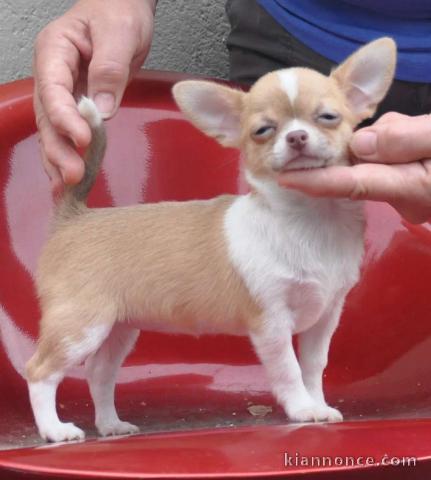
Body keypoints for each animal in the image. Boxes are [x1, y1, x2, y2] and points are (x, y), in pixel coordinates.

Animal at [27, 37, 396, 442]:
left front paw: (318, 404)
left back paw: (111, 425)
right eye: (263, 130)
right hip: (80, 325)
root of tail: (75, 216)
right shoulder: (271, 321)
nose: (297, 137)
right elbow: (289, 369)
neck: (309, 219)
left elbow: (313, 366)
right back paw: (55, 430)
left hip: (118, 328)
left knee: (99, 374)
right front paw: (302, 409)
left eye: (328, 117)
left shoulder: (325, 316)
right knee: (39, 372)